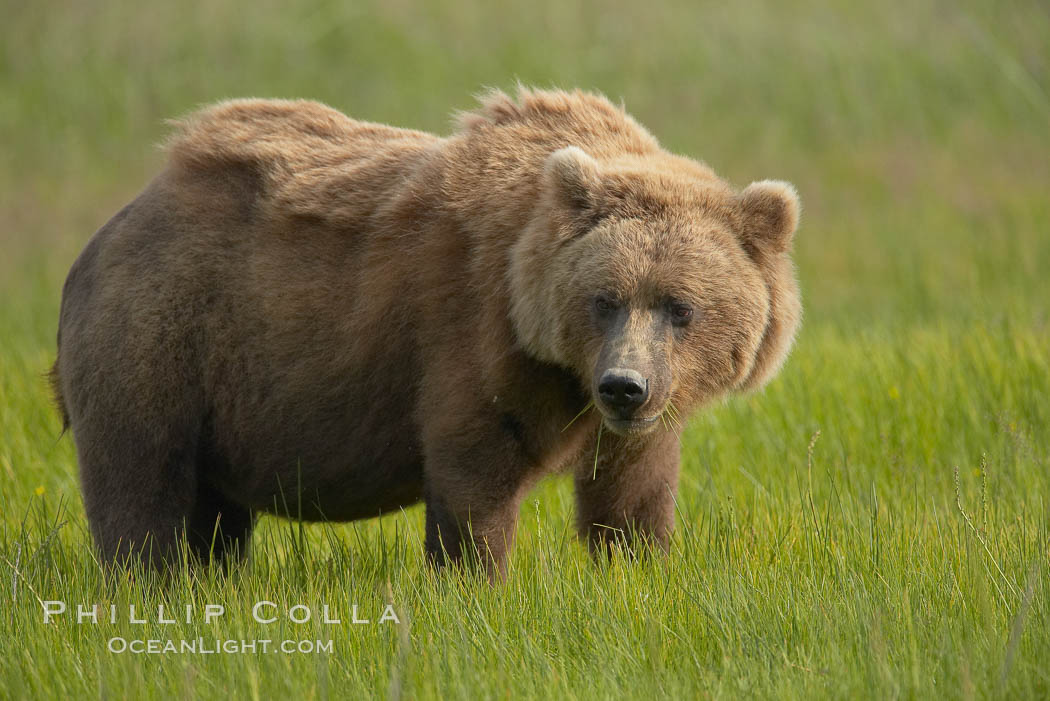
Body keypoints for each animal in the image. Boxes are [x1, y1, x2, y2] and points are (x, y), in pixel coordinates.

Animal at [49, 87, 797, 579]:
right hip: (163, 335)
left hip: (220, 400)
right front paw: (474, 581)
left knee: (215, 508)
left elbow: (632, 491)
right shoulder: (470, 336)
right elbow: (475, 475)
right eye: (603, 299)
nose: (625, 386)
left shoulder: (636, 412)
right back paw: (149, 580)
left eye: (680, 306)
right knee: (142, 480)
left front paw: (634, 571)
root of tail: (110, 230)